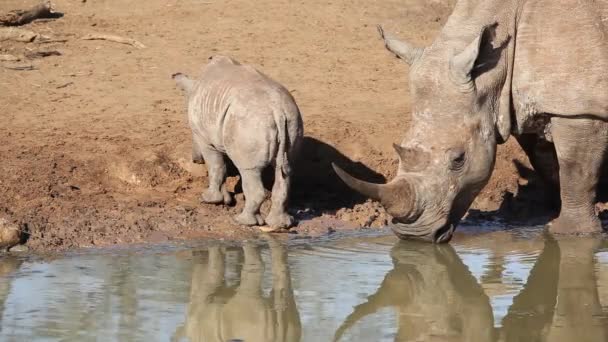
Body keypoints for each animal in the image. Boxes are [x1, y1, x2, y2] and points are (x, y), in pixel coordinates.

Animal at [171, 55, 304, 230]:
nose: (195, 159)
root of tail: (278, 111)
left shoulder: (204, 138)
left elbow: (215, 166)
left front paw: (209, 199)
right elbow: (222, 168)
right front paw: (226, 200)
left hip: (250, 124)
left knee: (249, 170)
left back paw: (242, 221)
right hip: (291, 118)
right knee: (284, 171)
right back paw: (280, 224)